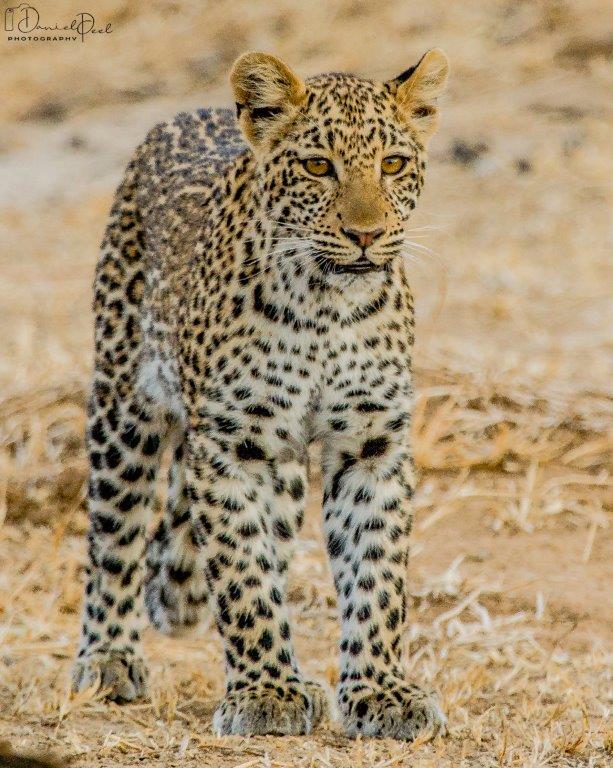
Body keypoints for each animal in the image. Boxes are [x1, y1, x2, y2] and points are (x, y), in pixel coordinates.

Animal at [71, 49, 450, 741]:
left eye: (392, 164)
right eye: (318, 166)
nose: (366, 234)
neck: (327, 306)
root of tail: (188, 113)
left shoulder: (372, 443)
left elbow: (377, 574)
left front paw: (381, 693)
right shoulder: (231, 445)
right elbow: (243, 575)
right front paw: (266, 692)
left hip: (282, 470)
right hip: (123, 402)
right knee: (116, 533)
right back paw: (108, 657)